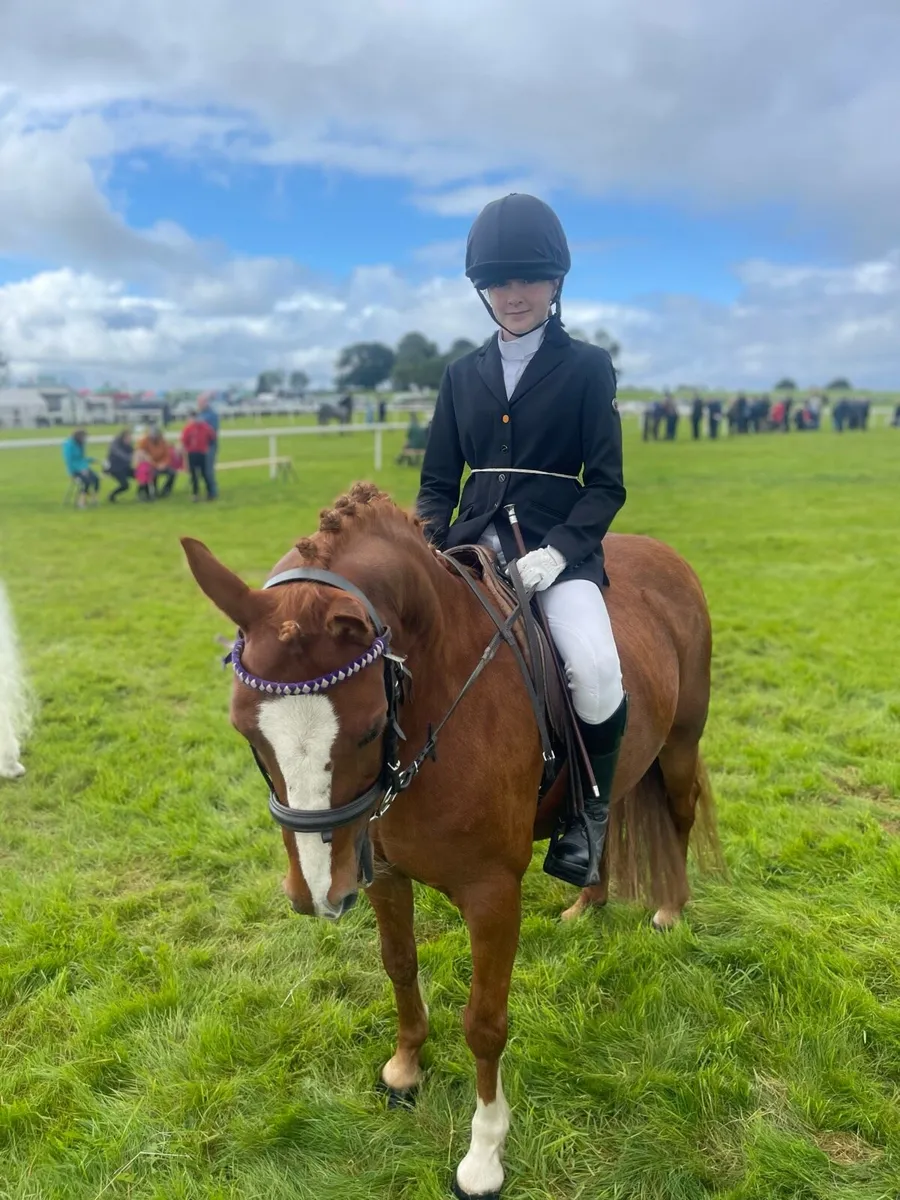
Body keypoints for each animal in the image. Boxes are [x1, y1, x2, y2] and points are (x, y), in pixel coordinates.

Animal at [181, 482, 720, 1199]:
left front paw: (485, 1154)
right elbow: (399, 965)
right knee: (600, 814)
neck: (436, 697)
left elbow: (485, 1022)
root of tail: (664, 555)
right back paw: (588, 900)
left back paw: (669, 910)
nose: (317, 894)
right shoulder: (382, 871)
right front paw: (406, 1068)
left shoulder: (493, 894)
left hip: (682, 742)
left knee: (681, 813)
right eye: (244, 726)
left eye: (369, 725)